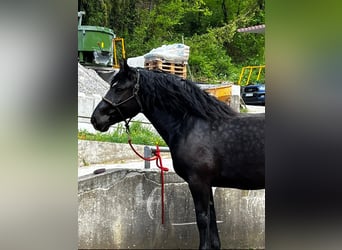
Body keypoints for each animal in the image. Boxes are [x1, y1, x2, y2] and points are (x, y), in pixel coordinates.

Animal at [90, 60, 264, 248]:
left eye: (119, 88)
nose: (95, 119)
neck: (191, 125)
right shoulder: (207, 185)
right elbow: (212, 221)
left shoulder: (198, 182)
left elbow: (202, 220)